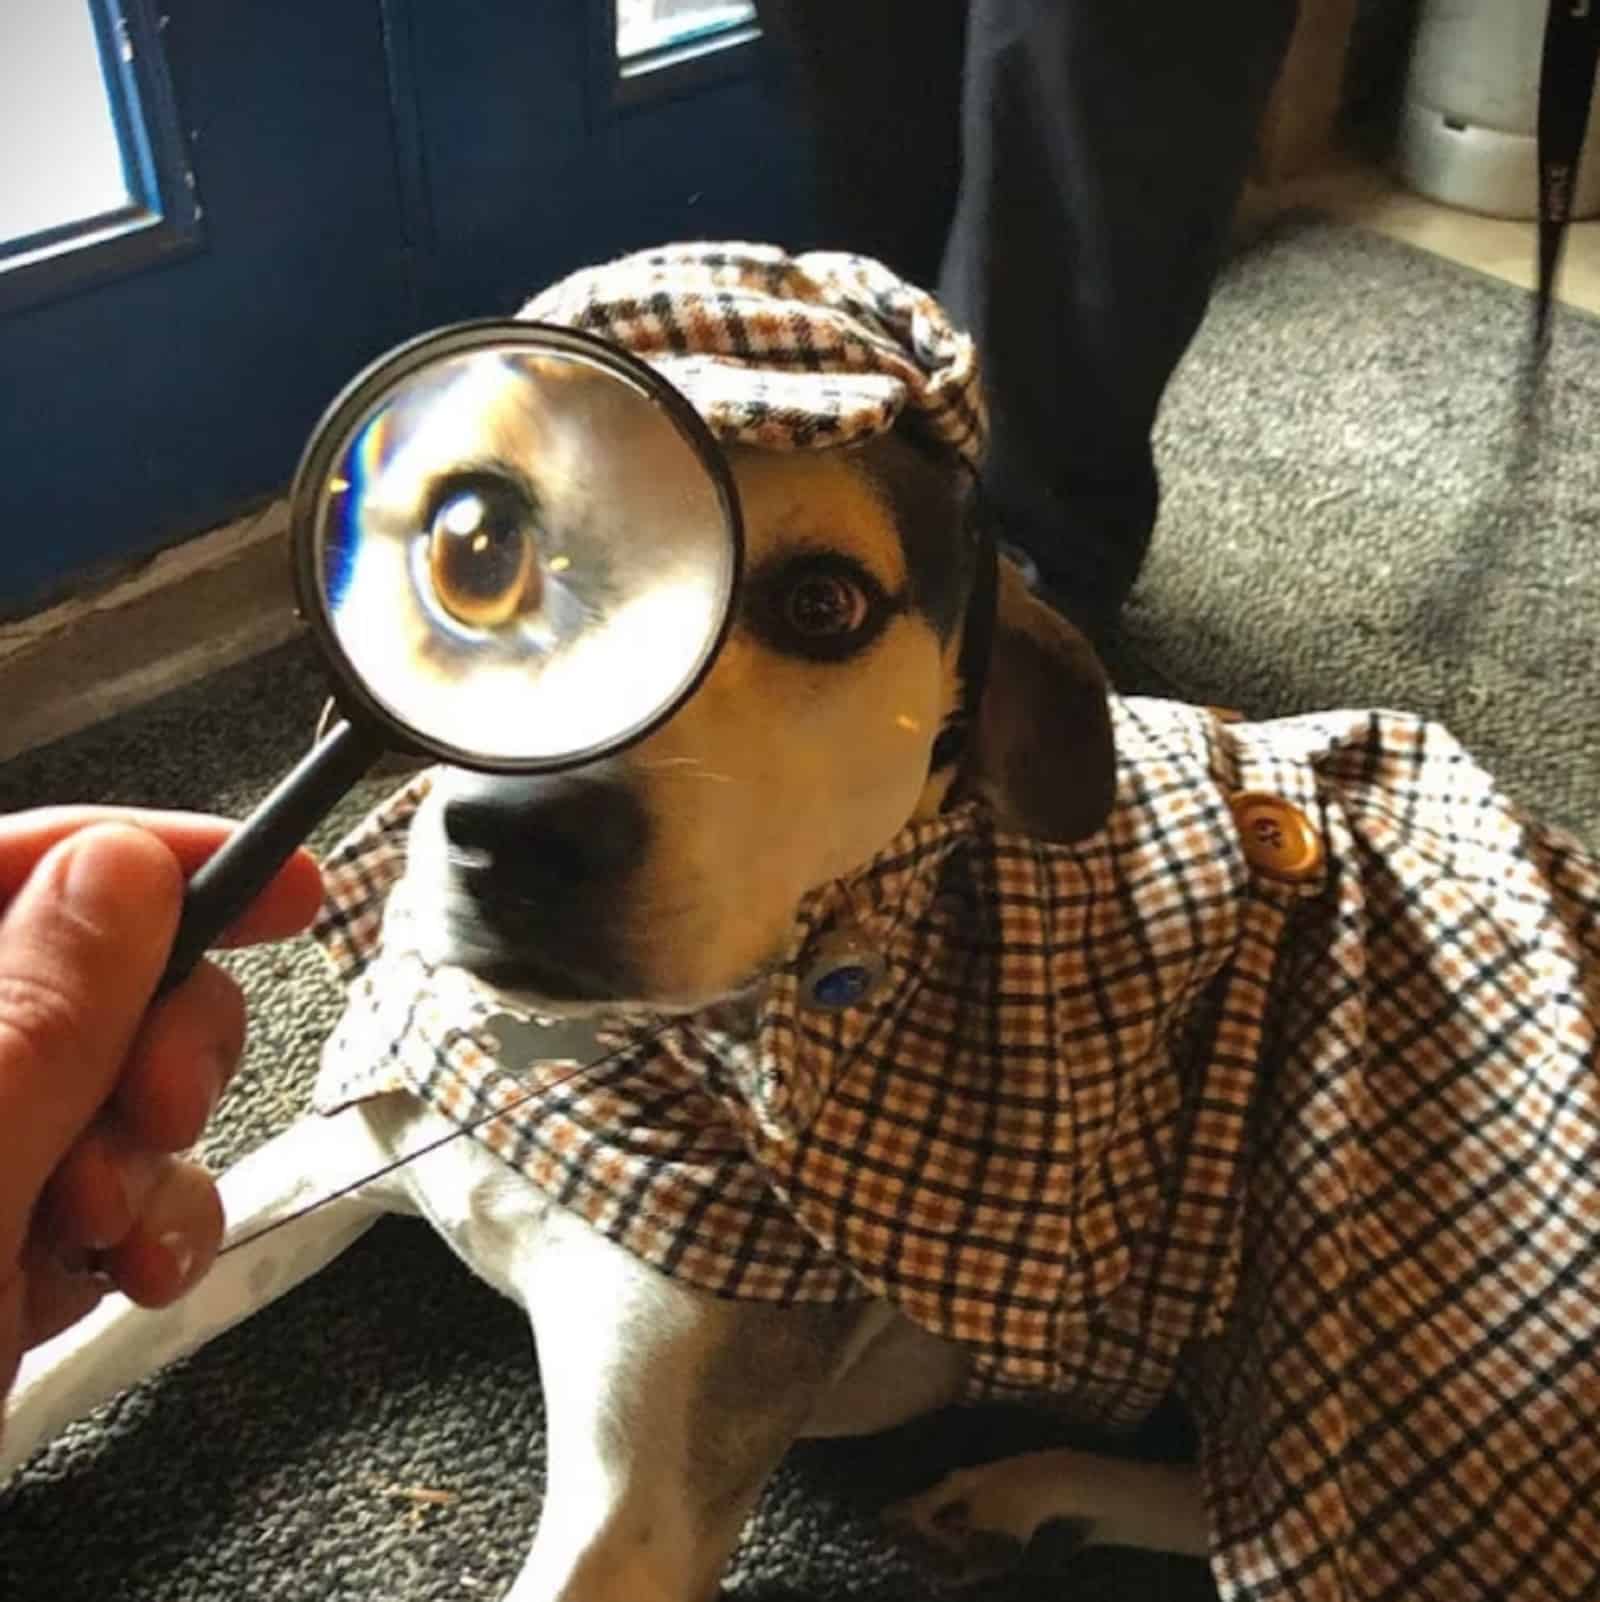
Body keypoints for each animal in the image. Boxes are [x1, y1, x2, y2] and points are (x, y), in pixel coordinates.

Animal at [3, 243, 1600, 1595]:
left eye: (825, 603)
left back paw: (1033, 1486)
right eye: (473, 541)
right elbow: (64, 1348)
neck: (601, 1059)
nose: (529, 835)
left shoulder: (641, 1506)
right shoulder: (317, 1165)